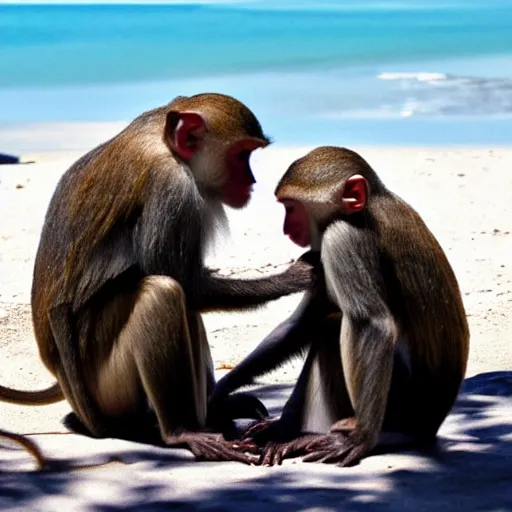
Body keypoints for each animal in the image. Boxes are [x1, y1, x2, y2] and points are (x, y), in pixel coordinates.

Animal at [0, 93, 312, 464]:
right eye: (241, 155)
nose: (251, 181)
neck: (165, 141)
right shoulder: (172, 189)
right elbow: (188, 286)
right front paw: (292, 278)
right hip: (105, 389)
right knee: (161, 292)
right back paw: (181, 432)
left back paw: (212, 411)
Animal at [210, 145, 470, 468]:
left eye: (292, 208)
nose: (286, 228)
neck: (369, 206)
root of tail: (429, 425)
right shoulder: (319, 254)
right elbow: (303, 323)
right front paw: (220, 393)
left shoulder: (341, 237)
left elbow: (373, 323)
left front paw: (360, 439)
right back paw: (286, 431)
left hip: (400, 404)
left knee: (334, 327)